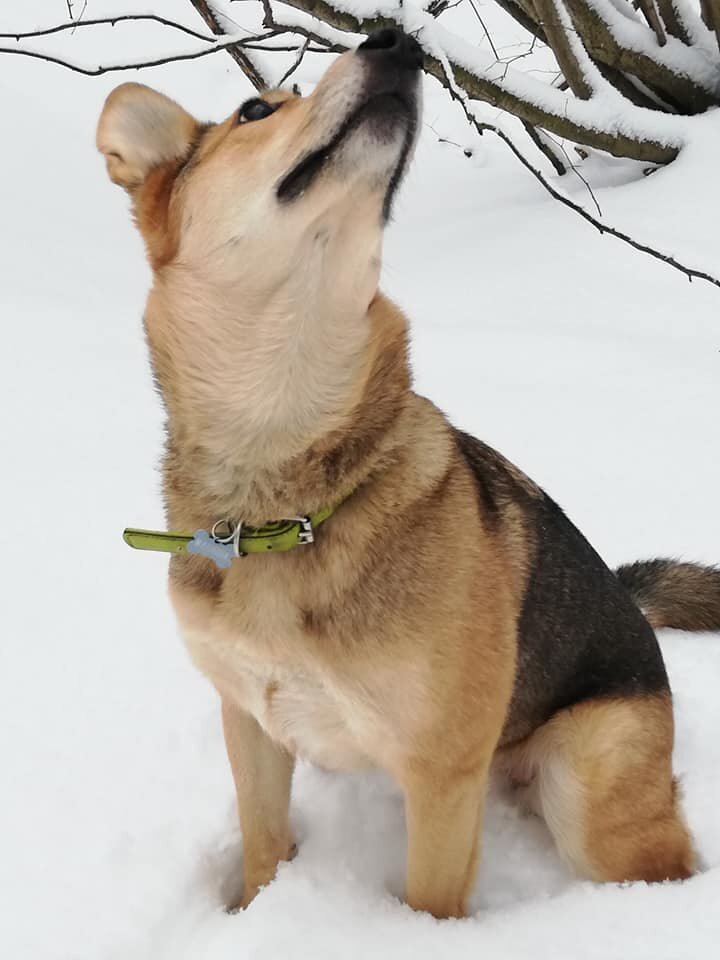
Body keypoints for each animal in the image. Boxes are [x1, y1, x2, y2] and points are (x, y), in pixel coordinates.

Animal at [97, 26, 720, 920]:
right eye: (255, 109)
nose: (397, 39)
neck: (284, 494)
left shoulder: (441, 774)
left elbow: (428, 903)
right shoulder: (250, 723)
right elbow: (262, 846)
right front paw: (256, 907)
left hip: (589, 788)